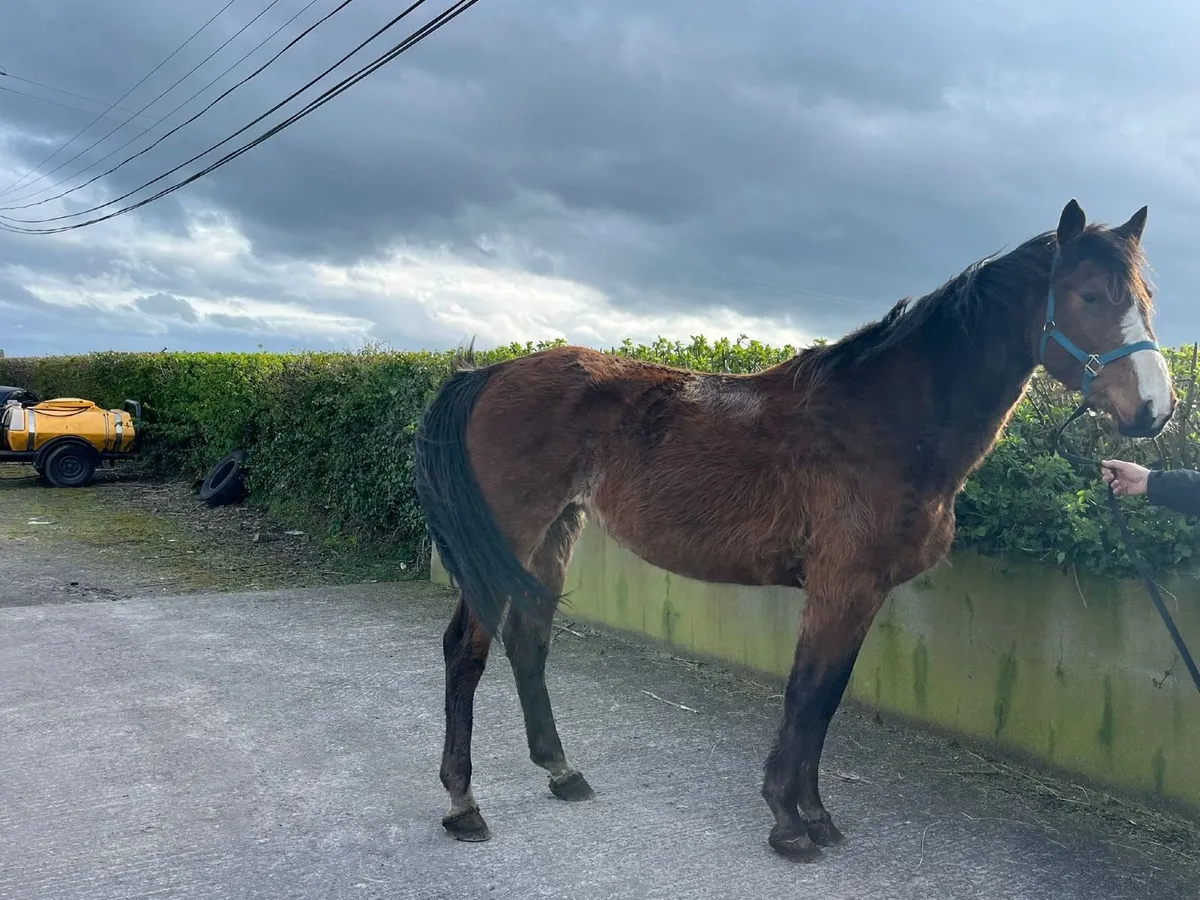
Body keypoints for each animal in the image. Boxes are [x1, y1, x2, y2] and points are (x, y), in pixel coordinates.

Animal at [413, 199, 1174, 862]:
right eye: (1089, 296)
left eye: (1145, 299)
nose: (1156, 410)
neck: (879, 419)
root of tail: (491, 373)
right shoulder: (840, 585)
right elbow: (807, 696)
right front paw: (788, 821)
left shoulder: (864, 592)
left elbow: (826, 699)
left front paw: (815, 814)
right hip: (509, 533)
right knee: (466, 650)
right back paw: (463, 804)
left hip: (555, 532)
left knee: (528, 639)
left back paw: (562, 772)